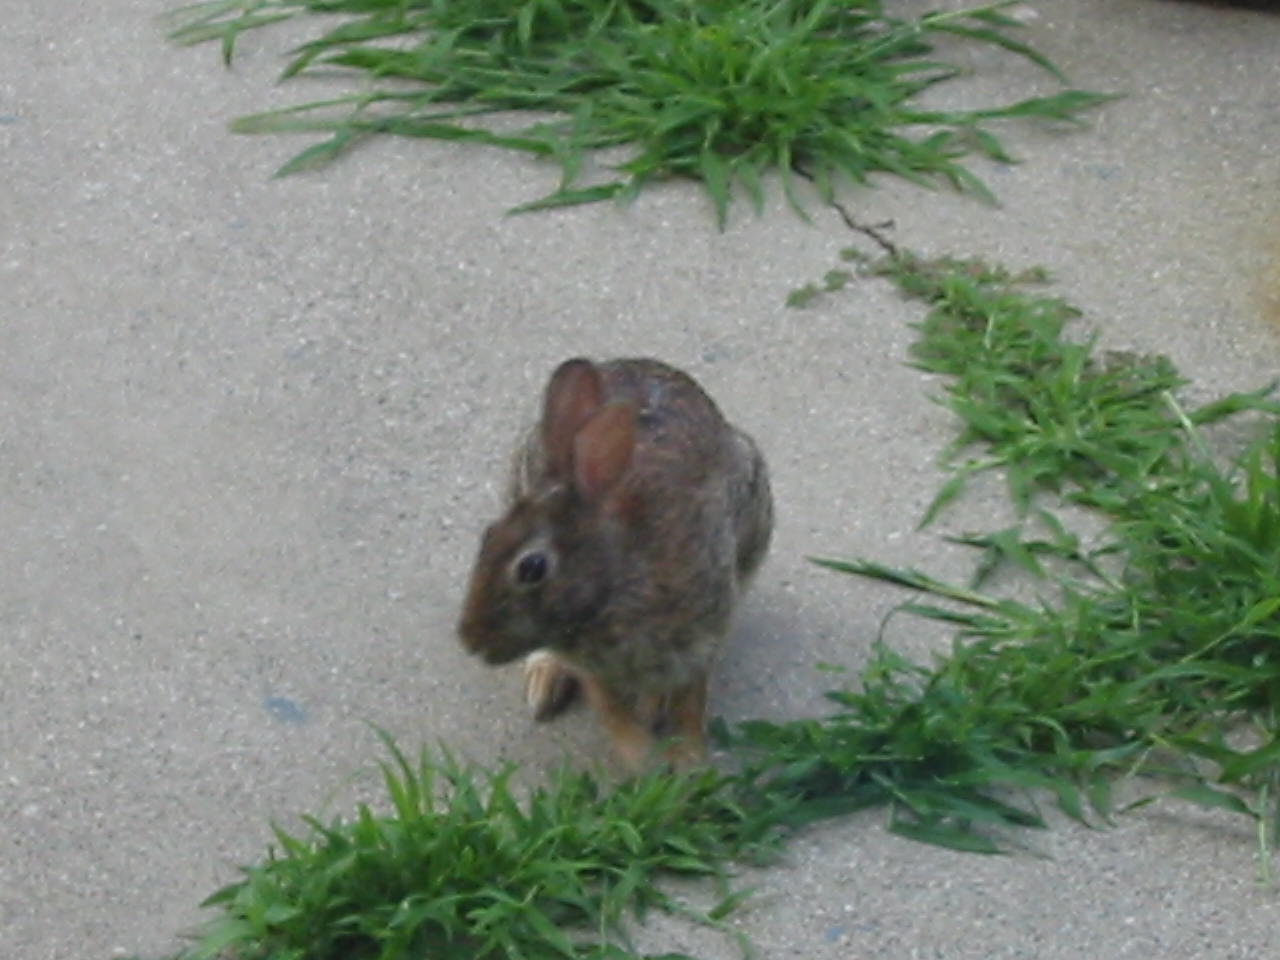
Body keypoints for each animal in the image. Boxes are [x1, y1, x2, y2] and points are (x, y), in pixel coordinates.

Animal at [457, 357, 772, 771]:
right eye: (487, 537)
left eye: (532, 568)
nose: (469, 639)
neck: (615, 581)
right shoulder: (592, 666)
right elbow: (612, 712)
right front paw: (645, 764)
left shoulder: (705, 628)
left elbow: (691, 701)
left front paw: (687, 762)